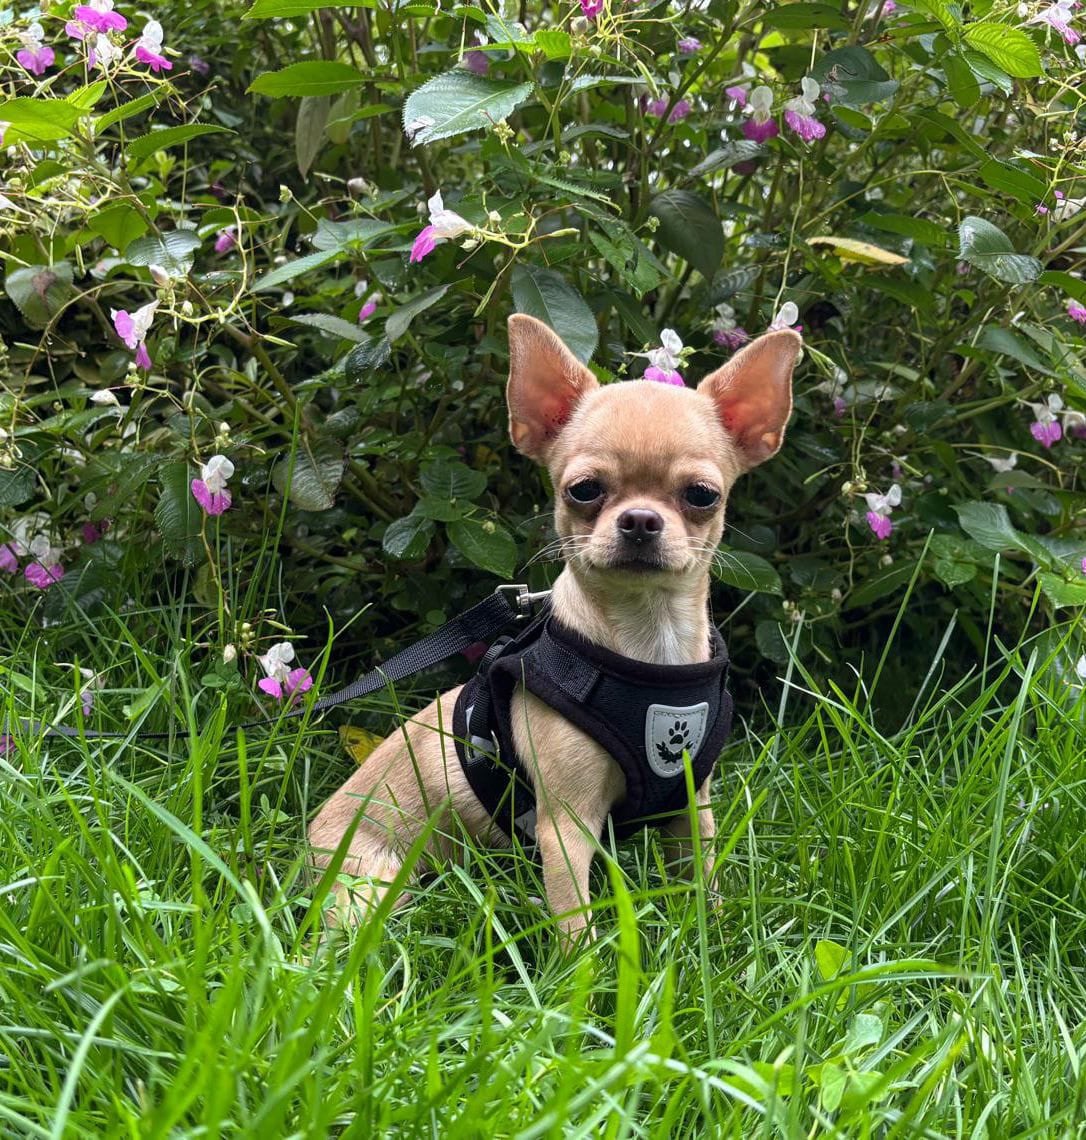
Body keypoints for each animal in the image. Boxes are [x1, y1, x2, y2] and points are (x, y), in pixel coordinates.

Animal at [308, 313, 801, 943]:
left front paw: (710, 937)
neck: (651, 640)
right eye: (583, 490)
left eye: (702, 496)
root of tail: (306, 844)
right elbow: (576, 923)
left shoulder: (691, 810)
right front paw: (586, 970)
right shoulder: (565, 829)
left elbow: (701, 880)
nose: (640, 520)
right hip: (370, 890)